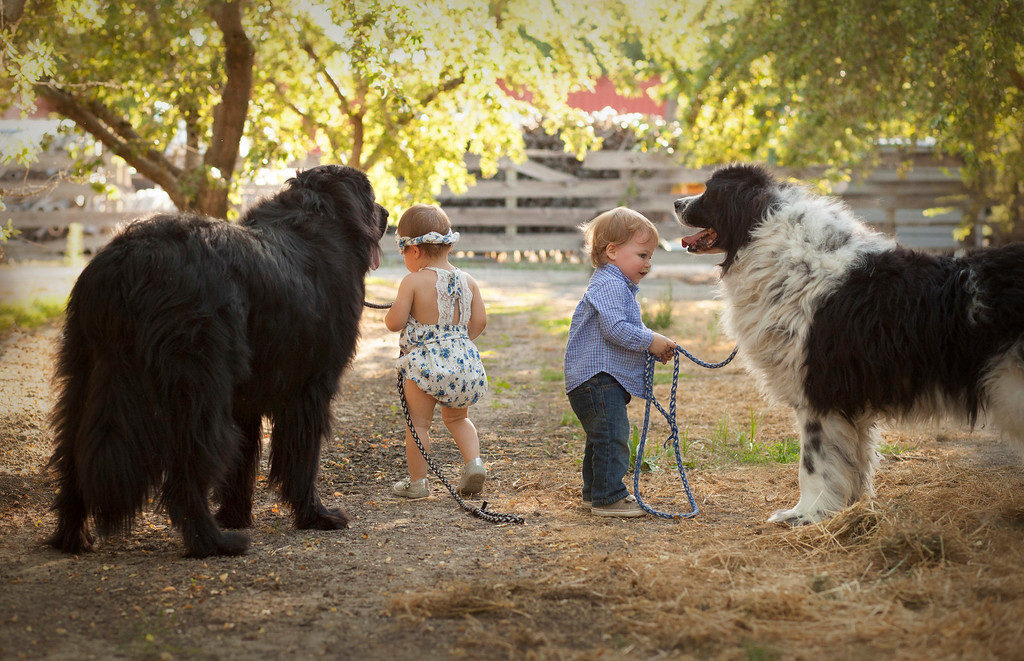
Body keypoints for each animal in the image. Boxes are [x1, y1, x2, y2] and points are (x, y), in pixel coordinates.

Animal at [47, 165, 387, 560]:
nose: (387, 214)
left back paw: (72, 536)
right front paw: (316, 516)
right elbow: (300, 459)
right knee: (187, 473)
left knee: (72, 458)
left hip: (84, 372)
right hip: (198, 384)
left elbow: (242, 461)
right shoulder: (309, 390)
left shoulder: (246, 400)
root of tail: (131, 261)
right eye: (371, 196)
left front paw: (235, 515)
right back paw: (213, 542)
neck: (318, 213)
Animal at [675, 164, 1019, 523]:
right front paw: (848, 508)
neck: (763, 235)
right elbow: (852, 462)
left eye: (709, 191)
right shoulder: (846, 404)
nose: (676, 203)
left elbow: (812, 463)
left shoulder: (818, 394)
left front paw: (805, 514)